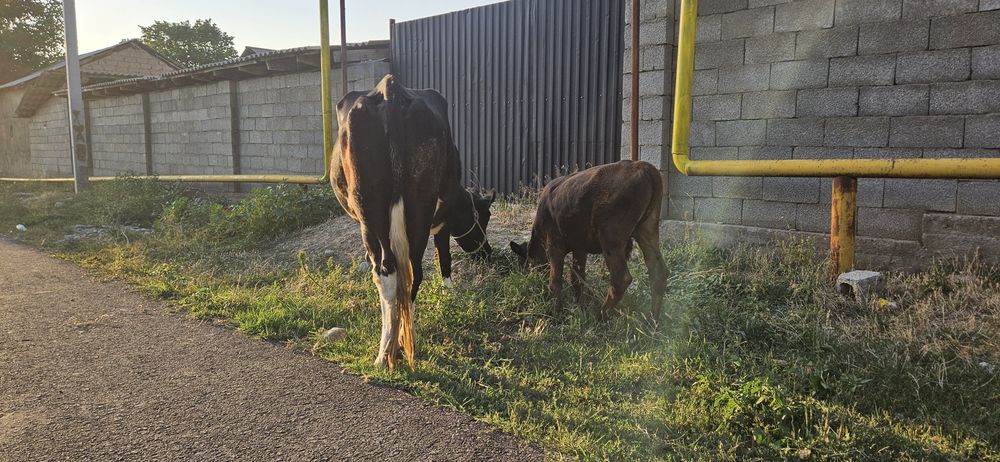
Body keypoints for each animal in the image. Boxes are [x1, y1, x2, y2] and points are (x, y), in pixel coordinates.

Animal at [330, 75, 494, 369]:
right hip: (417, 209)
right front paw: (449, 293)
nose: (487, 253)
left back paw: (387, 351)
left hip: (374, 212)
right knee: (409, 276)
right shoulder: (443, 221)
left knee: (391, 274)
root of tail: (390, 88)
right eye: (484, 217)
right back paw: (398, 346)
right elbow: (444, 257)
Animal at [510, 160, 668, 322]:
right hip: (647, 230)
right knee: (658, 272)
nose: (532, 282)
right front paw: (579, 306)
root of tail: (643, 166)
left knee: (621, 278)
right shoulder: (580, 248)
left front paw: (555, 312)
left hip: (611, 237)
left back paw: (601, 315)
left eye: (526, 264)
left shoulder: (554, 243)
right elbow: (577, 278)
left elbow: (556, 281)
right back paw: (652, 319)